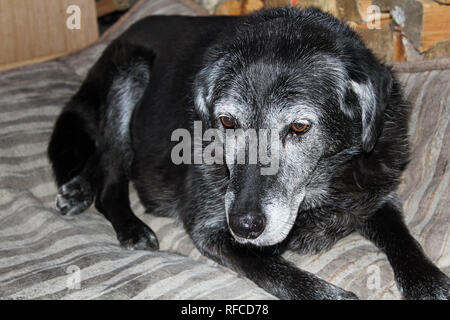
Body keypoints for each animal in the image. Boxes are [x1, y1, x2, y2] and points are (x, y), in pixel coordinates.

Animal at [47, 7, 448, 300]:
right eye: (226, 121)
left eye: (299, 127)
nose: (244, 226)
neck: (319, 188)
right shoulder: (210, 228)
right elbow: (274, 269)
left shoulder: (378, 195)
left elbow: (403, 238)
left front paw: (429, 282)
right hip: (130, 74)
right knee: (111, 171)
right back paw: (126, 224)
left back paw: (78, 188)